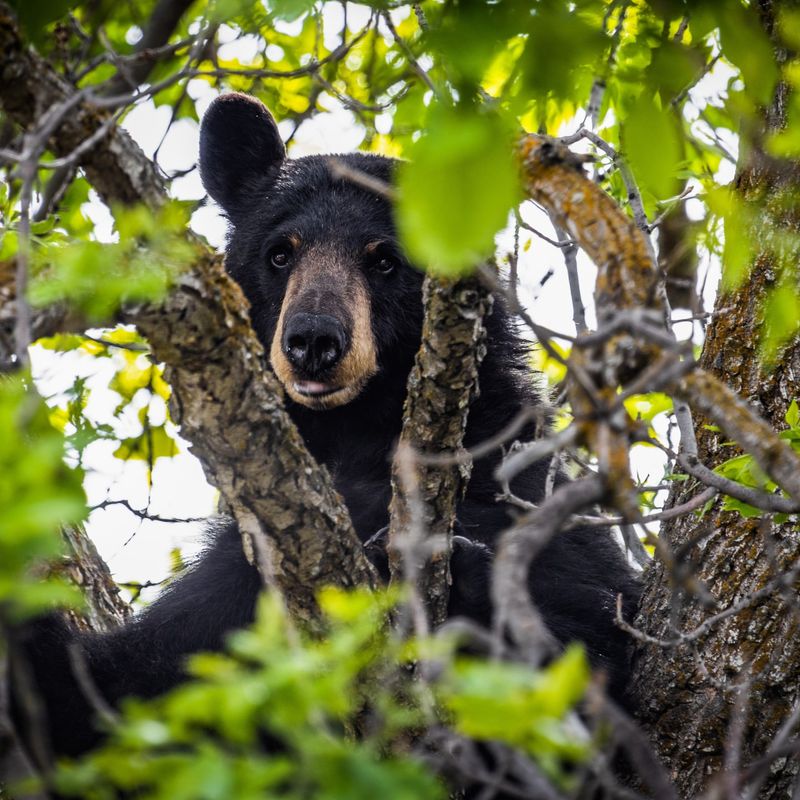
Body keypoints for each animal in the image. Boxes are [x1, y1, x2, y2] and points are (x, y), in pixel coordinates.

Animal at [9, 90, 640, 764]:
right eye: (280, 252)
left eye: (385, 260)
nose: (313, 341)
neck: (354, 436)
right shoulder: (245, 568)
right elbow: (129, 691)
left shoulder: (517, 490)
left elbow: (590, 639)